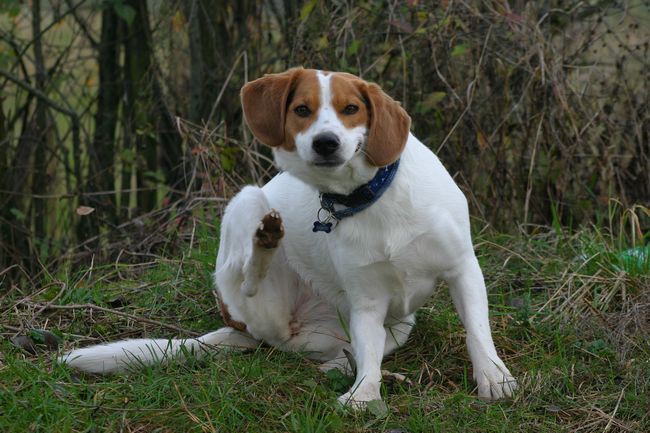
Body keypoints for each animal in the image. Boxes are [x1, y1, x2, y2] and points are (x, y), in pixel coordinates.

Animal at [60, 66, 516, 404]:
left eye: (352, 108)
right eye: (301, 109)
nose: (326, 142)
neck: (370, 198)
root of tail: (242, 330)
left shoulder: (462, 271)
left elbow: (477, 333)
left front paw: (493, 379)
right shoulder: (366, 301)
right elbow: (369, 361)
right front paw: (365, 395)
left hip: (397, 324)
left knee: (349, 349)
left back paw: (340, 364)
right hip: (246, 209)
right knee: (254, 286)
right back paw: (266, 241)